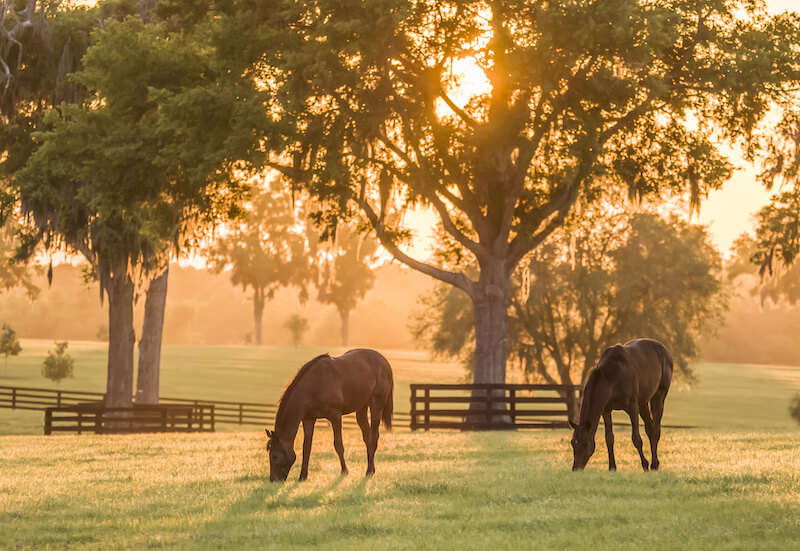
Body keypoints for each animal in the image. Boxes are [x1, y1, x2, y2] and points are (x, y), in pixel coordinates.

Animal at [266, 350, 394, 484]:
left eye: (275, 456)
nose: (273, 480)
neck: (313, 386)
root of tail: (384, 362)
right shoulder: (308, 419)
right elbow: (307, 447)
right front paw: (303, 476)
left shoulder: (335, 416)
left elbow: (338, 445)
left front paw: (344, 471)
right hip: (361, 408)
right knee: (367, 437)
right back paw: (371, 469)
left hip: (376, 405)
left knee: (374, 437)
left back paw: (369, 471)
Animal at [568, 338, 676, 472]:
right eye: (573, 442)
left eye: (585, 443)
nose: (576, 468)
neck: (612, 378)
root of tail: (665, 351)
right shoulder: (606, 410)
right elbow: (609, 438)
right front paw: (612, 467)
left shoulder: (632, 408)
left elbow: (636, 439)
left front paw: (645, 465)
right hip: (643, 403)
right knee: (650, 428)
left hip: (659, 396)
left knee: (655, 428)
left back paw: (654, 464)